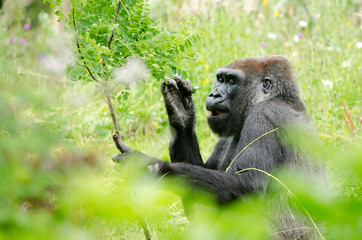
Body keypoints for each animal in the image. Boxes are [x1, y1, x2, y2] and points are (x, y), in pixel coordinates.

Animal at [112, 55, 320, 238]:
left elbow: (248, 187)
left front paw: (149, 166)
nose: (215, 94)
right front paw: (180, 111)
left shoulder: (264, 117)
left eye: (232, 81)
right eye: (220, 79)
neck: (277, 97)